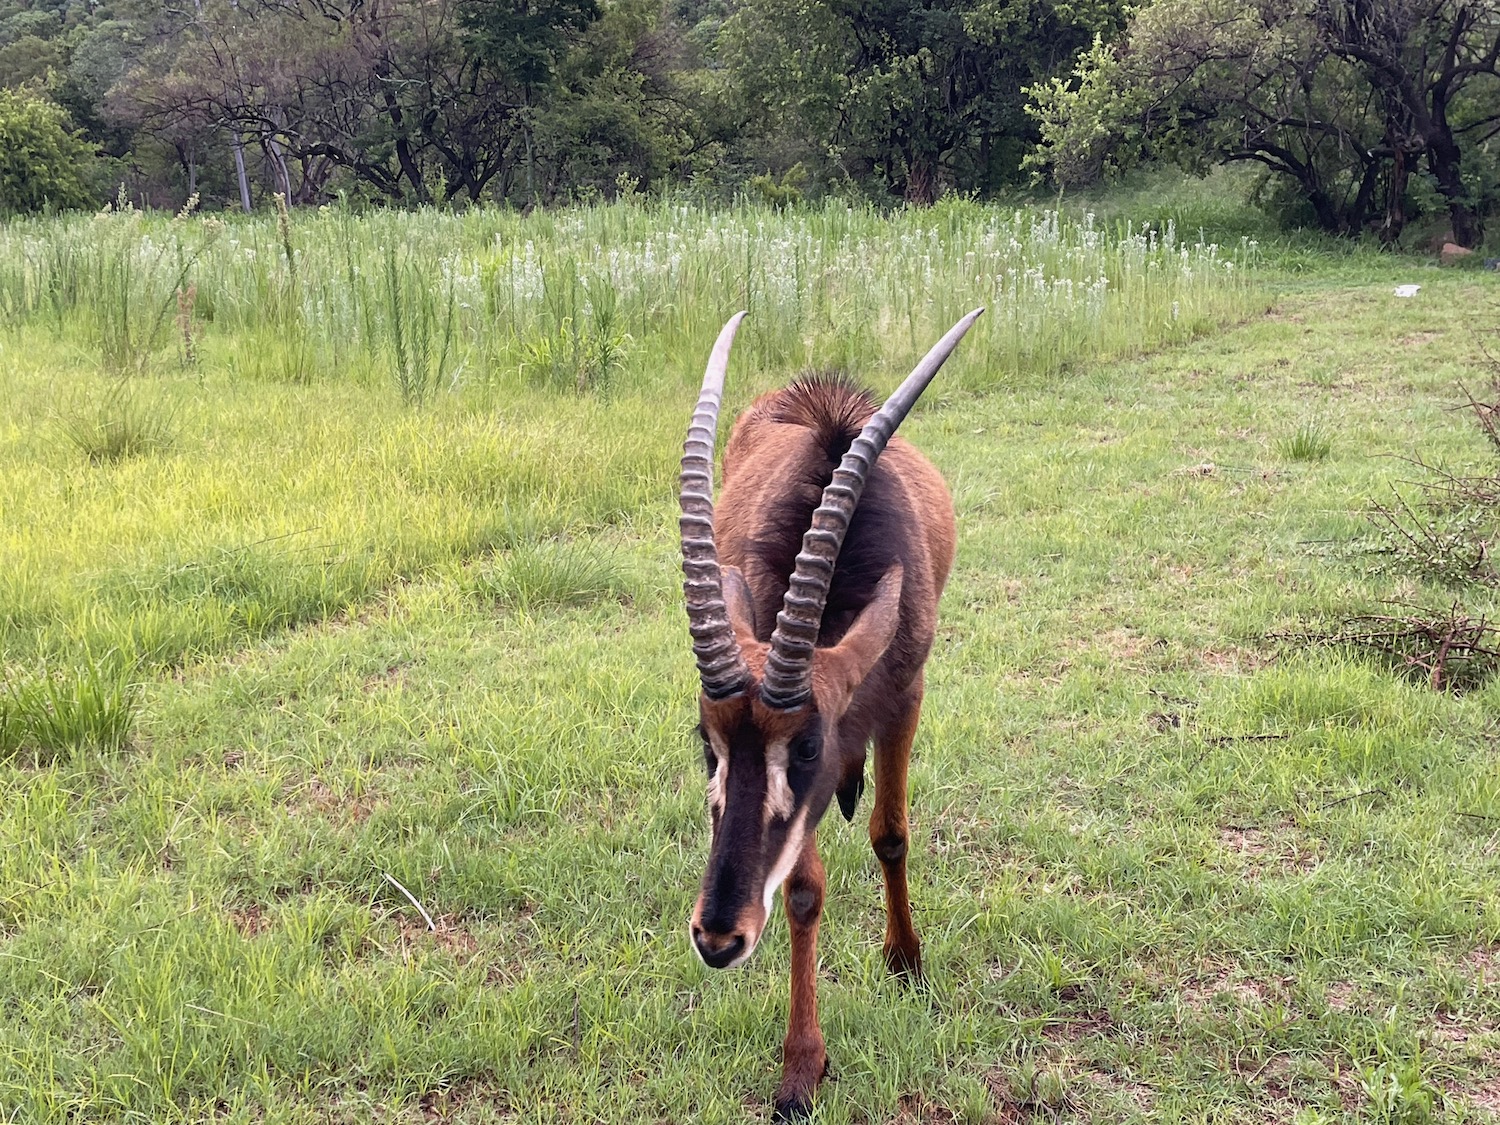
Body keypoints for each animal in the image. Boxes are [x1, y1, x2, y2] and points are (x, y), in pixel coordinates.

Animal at [681, 306, 984, 1122]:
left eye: (808, 747)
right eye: (708, 744)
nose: (718, 937)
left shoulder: (906, 695)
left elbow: (891, 834)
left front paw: (906, 961)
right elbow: (802, 892)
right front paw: (801, 1069)